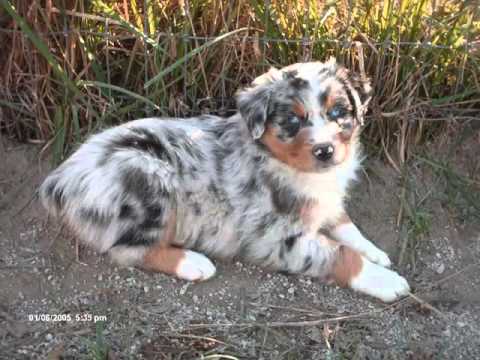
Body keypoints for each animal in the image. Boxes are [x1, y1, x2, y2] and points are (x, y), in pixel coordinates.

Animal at [39, 59, 410, 300]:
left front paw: (375, 252)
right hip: (147, 175)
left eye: (337, 112)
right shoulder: (278, 239)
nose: (325, 151)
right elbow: (341, 254)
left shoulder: (326, 202)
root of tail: (61, 177)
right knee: (128, 250)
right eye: (292, 120)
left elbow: (345, 224)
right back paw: (193, 262)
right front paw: (386, 280)